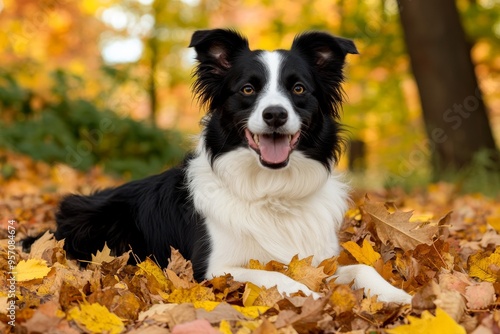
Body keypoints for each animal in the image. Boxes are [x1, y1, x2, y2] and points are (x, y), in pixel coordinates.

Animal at [26, 30, 410, 304]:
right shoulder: (214, 269)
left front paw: (399, 295)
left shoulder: (319, 260)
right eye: (248, 89)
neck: (273, 191)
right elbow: (275, 276)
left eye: (299, 88)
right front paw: (313, 295)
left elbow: (361, 268)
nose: (275, 114)